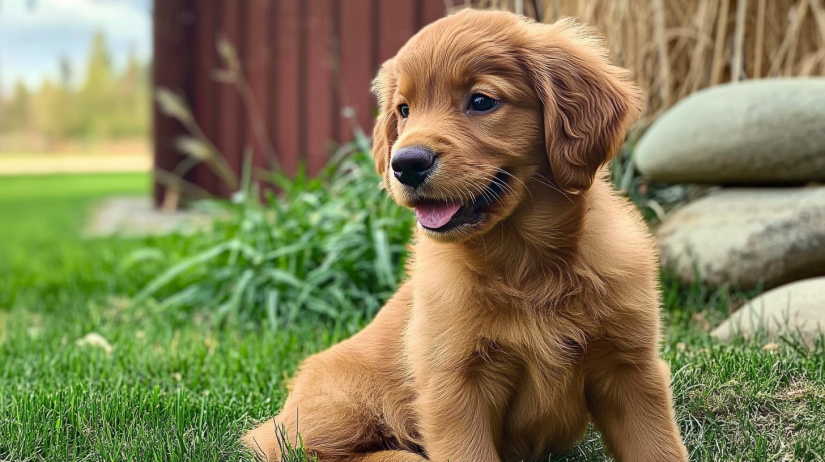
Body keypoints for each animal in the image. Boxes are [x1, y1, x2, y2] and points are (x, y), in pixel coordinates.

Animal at [245, 8, 688, 462]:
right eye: (404, 109)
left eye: (481, 101)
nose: (405, 163)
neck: (529, 266)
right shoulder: (455, 385)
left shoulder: (630, 368)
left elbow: (659, 448)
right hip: (341, 404)